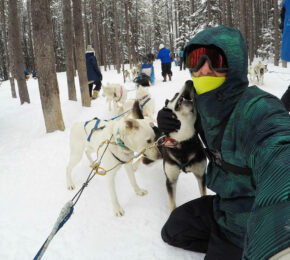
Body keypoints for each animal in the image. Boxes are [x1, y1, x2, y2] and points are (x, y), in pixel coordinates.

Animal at [160, 80, 207, 211]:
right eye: (176, 94)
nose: (190, 82)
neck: (183, 140)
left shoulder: (201, 175)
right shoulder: (170, 180)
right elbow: (172, 204)